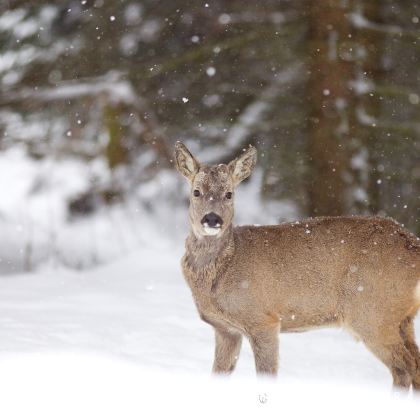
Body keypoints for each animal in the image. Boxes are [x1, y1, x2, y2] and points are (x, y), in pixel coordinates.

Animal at [174, 142, 420, 390]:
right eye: (196, 192)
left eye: (229, 194)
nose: (212, 219)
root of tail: (413, 244)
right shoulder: (226, 329)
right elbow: (218, 372)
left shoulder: (263, 320)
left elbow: (267, 373)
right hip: (403, 318)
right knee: (415, 364)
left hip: (372, 313)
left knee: (403, 368)